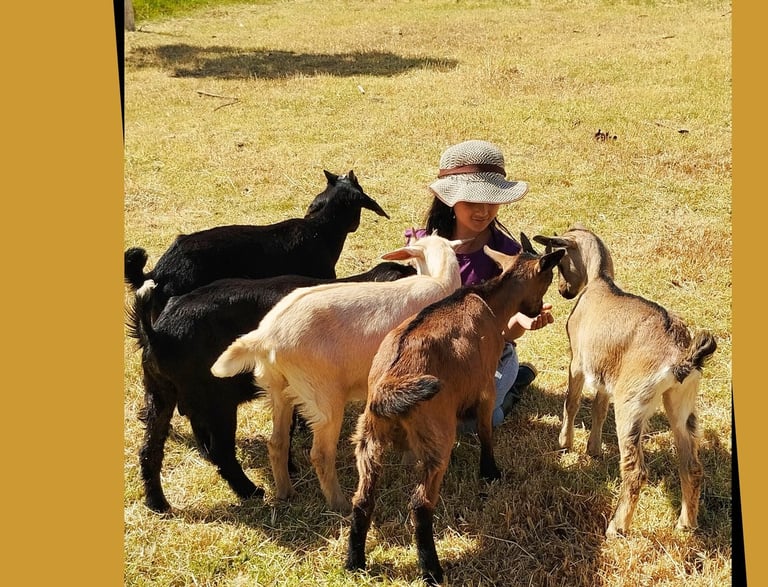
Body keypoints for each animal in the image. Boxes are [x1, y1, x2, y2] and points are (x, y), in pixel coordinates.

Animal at [127, 261, 415, 513]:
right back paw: (251, 491)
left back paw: (158, 503)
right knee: (221, 450)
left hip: (160, 395)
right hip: (218, 402)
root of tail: (157, 334)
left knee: (150, 450)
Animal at [211, 233, 466, 513]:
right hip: (323, 395)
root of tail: (266, 335)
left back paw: (286, 493)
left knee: (277, 443)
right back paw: (339, 504)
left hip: (279, 387)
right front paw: (411, 461)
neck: (439, 281)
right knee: (320, 454)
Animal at [344, 236, 564, 585]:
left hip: (369, 438)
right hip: (436, 438)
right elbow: (485, 430)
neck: (489, 303)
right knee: (420, 505)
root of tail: (388, 386)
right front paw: (490, 471)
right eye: (547, 280)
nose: (535, 311)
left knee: (363, 498)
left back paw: (355, 562)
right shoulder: (485, 387)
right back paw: (432, 570)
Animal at [532, 225, 717, 538]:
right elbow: (598, 408)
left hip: (632, 403)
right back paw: (685, 524)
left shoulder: (578, 362)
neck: (600, 283)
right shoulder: (607, 377)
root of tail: (682, 355)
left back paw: (617, 527)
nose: (563, 291)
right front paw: (593, 450)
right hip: (681, 403)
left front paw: (565, 443)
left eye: (558, 261)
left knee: (635, 470)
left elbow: (572, 402)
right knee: (691, 465)